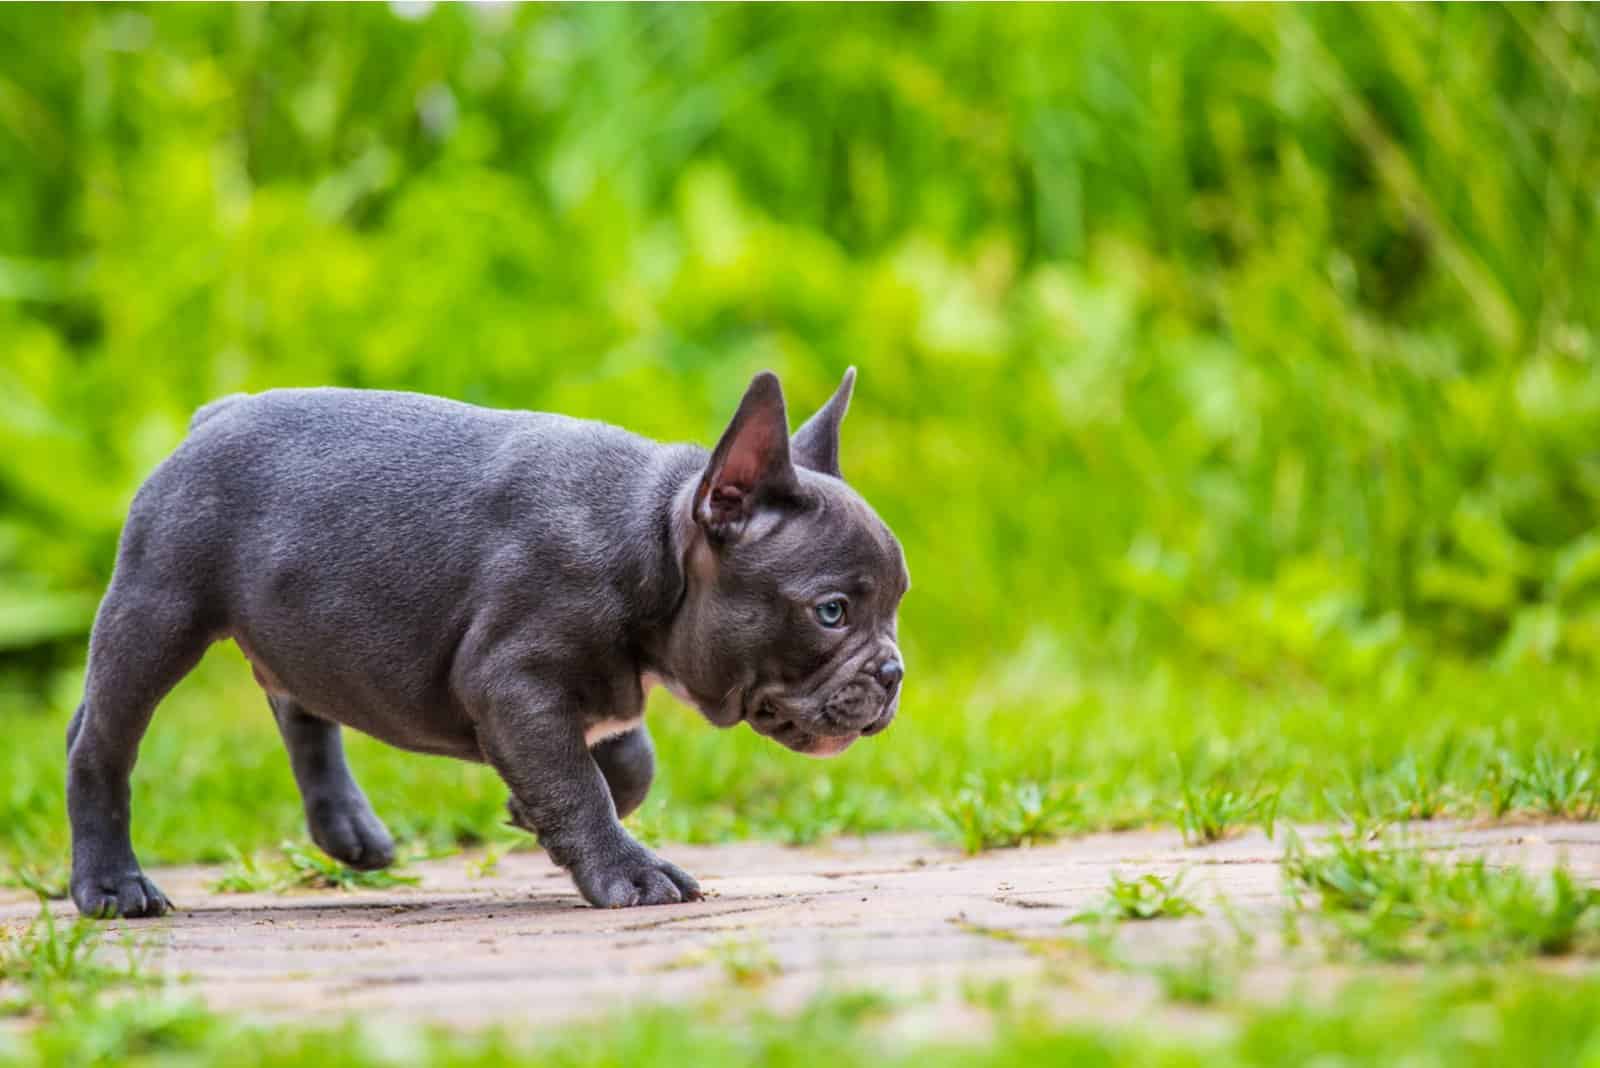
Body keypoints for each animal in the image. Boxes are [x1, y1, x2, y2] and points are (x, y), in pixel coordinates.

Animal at [68, 369, 908, 920]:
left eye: (896, 605)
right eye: (831, 612)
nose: (895, 671)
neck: (649, 537)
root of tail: (213, 416)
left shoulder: (591, 689)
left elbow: (624, 763)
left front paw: (527, 809)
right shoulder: (514, 682)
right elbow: (580, 784)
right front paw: (627, 872)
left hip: (297, 621)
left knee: (300, 707)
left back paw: (348, 829)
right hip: (158, 612)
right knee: (100, 741)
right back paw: (111, 886)